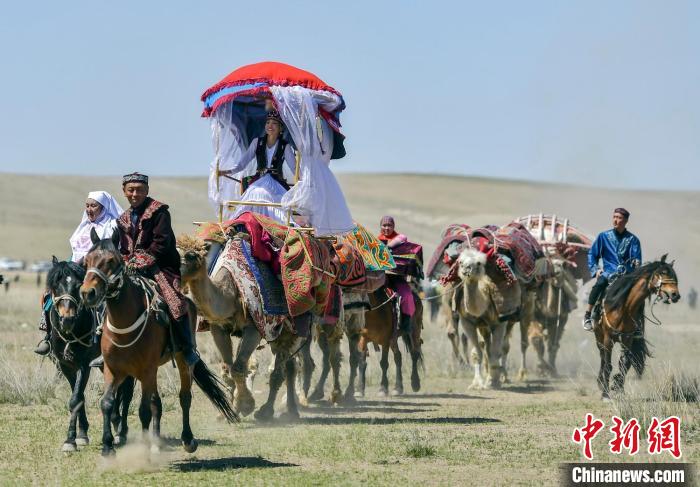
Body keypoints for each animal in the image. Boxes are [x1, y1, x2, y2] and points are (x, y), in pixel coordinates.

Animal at [45, 260, 137, 454]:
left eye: (77, 286)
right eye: (55, 286)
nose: (67, 319)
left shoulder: (83, 365)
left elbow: (75, 400)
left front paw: (70, 440)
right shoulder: (66, 366)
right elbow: (79, 397)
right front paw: (81, 435)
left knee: (127, 393)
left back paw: (121, 432)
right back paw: (115, 421)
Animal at [80, 229, 237, 458]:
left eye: (111, 261)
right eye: (87, 261)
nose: (87, 293)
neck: (124, 321)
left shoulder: (146, 370)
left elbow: (144, 410)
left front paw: (144, 447)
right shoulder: (113, 369)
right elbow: (108, 403)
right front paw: (108, 447)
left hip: (181, 361)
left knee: (184, 397)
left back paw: (187, 439)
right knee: (157, 402)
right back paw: (156, 441)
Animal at [592, 255, 680, 400]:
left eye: (673, 275)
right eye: (662, 273)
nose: (675, 295)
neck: (623, 307)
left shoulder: (627, 339)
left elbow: (624, 363)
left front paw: (618, 387)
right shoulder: (608, 339)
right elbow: (608, 365)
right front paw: (605, 394)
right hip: (599, 337)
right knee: (602, 358)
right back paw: (600, 383)